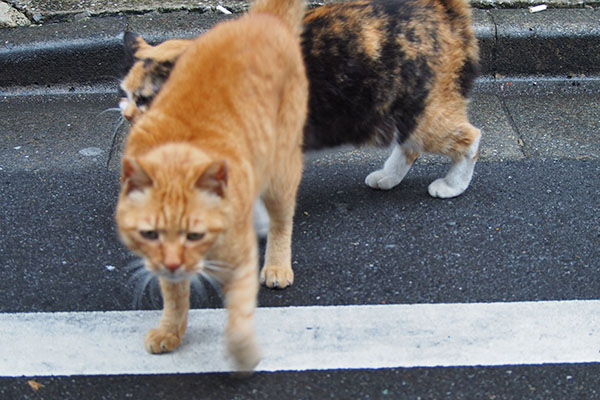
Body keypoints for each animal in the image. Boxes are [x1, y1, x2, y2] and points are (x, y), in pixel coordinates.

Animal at [114, 0, 308, 372]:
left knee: (282, 219)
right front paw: (171, 330)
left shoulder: (241, 260)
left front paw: (242, 352)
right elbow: (174, 296)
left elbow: (239, 313)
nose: (127, 115)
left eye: (142, 98)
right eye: (150, 234)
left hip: (280, 167)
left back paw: (277, 263)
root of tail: (261, 19)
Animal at [119, 0, 480, 200]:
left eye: (146, 98)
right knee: (409, 146)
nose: (126, 116)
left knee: (470, 138)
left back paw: (452, 185)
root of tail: (440, 6)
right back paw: (387, 178)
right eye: (125, 95)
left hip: (422, 113)